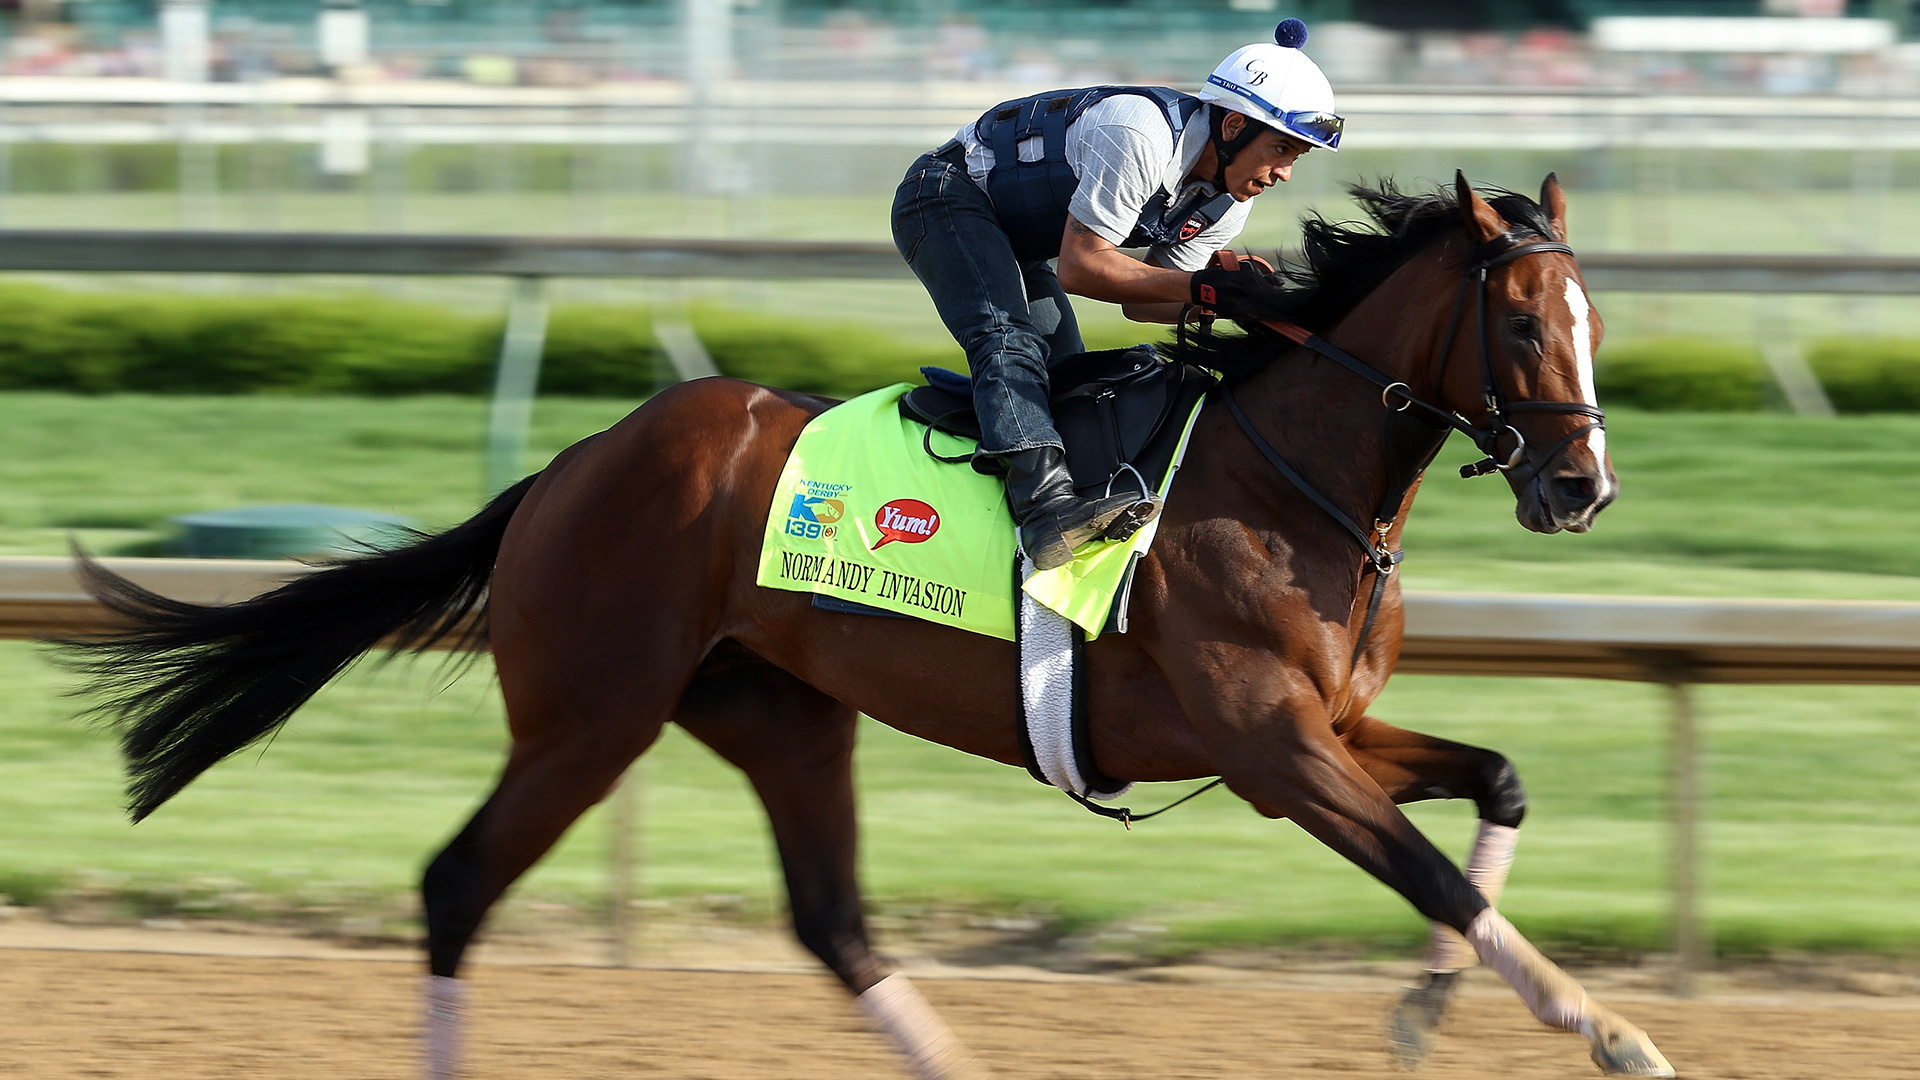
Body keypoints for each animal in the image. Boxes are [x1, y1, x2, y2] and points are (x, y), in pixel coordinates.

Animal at [67, 171, 1674, 1068]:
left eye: (1598, 320)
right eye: (1522, 323)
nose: (1582, 486)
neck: (1290, 479)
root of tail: (575, 465)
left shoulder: (1327, 727)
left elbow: (1496, 789)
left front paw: (1420, 1015)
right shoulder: (1274, 752)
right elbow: (1438, 878)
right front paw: (1612, 1030)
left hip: (778, 712)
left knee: (834, 922)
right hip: (591, 713)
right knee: (459, 887)